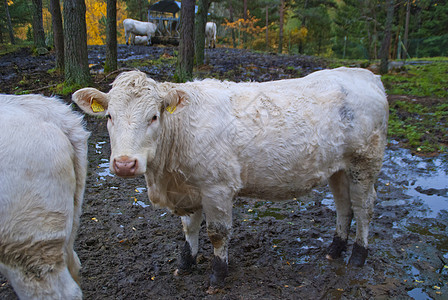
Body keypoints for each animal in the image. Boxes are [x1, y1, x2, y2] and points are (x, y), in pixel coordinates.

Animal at [72, 67, 388, 290]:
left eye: (153, 117)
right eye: (110, 117)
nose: (125, 163)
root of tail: (365, 74)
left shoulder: (217, 187)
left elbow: (217, 233)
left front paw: (217, 274)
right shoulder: (190, 187)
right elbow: (189, 228)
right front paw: (185, 263)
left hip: (364, 163)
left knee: (364, 208)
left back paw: (358, 255)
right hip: (338, 168)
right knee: (344, 206)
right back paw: (335, 249)